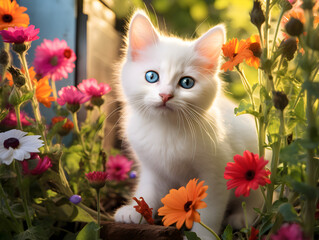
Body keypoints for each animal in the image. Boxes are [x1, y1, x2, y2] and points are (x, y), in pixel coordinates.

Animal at [114, 10, 264, 239]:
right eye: (151, 76)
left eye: (186, 83)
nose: (165, 95)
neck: (166, 129)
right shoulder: (152, 167)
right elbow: (147, 189)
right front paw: (135, 210)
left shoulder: (216, 173)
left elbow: (209, 211)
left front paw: (203, 235)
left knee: (260, 199)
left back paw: (242, 217)